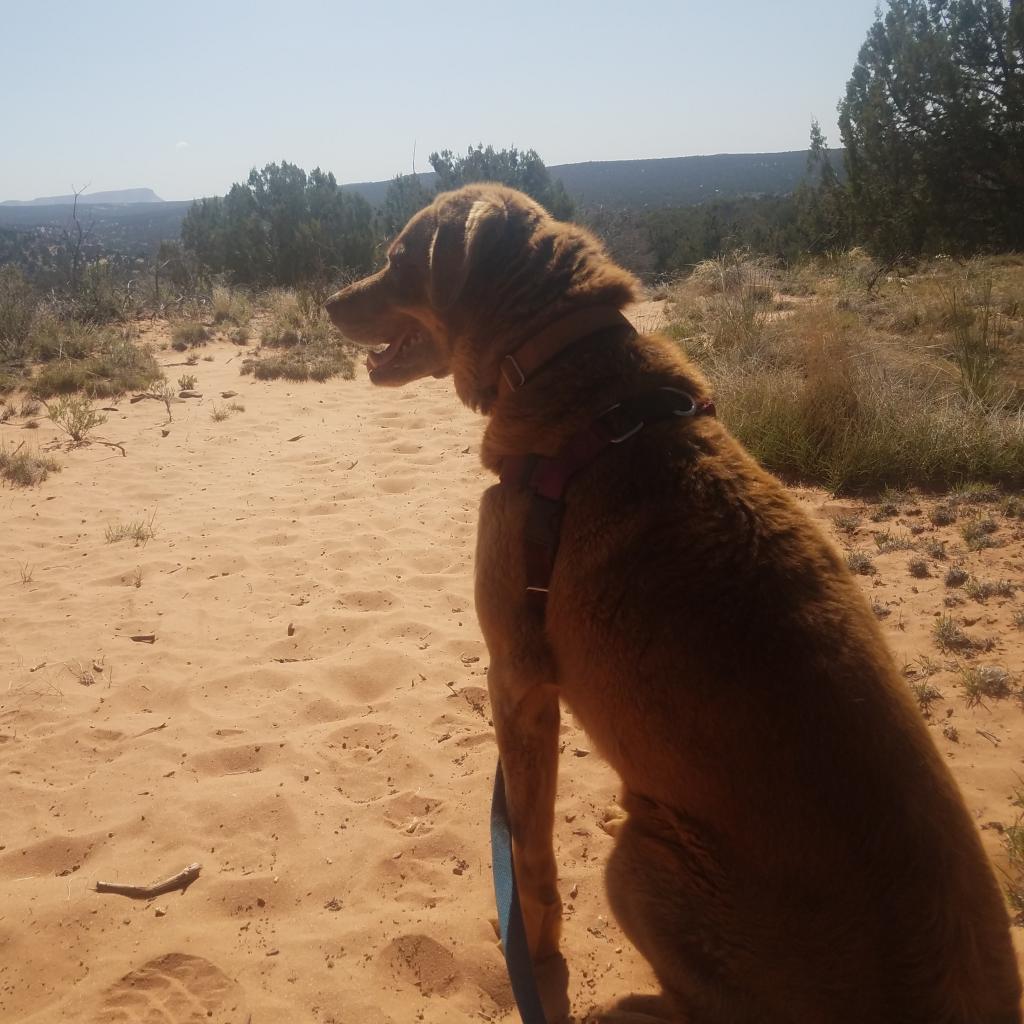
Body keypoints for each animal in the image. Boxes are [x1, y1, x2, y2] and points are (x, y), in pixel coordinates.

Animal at [323, 186, 1019, 1024]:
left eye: (396, 257)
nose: (327, 301)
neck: (559, 360)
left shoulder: (518, 675)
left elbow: (530, 853)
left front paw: (533, 952)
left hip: (645, 859)